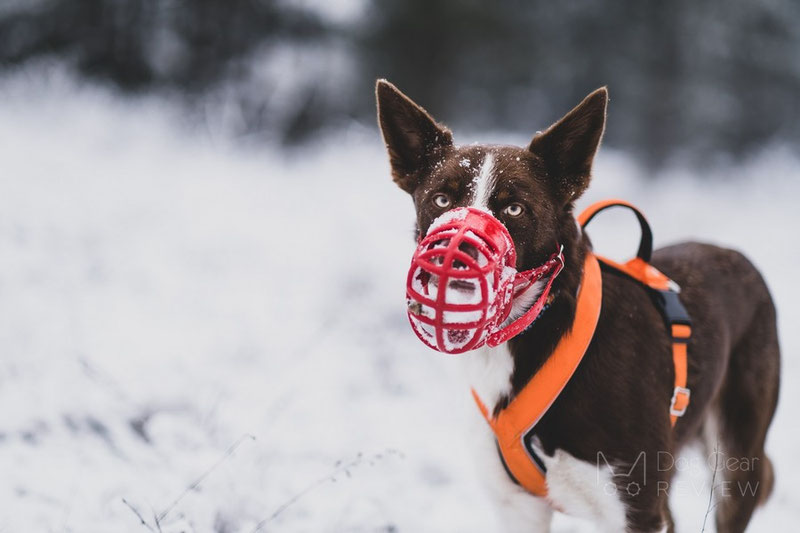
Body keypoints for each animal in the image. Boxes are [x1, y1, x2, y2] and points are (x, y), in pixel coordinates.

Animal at [376, 80, 780, 532]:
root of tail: (734, 255)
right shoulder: (517, 508)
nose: (456, 251)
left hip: (735, 463)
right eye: (442, 200)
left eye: (514, 208)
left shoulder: (634, 509)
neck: (536, 332)